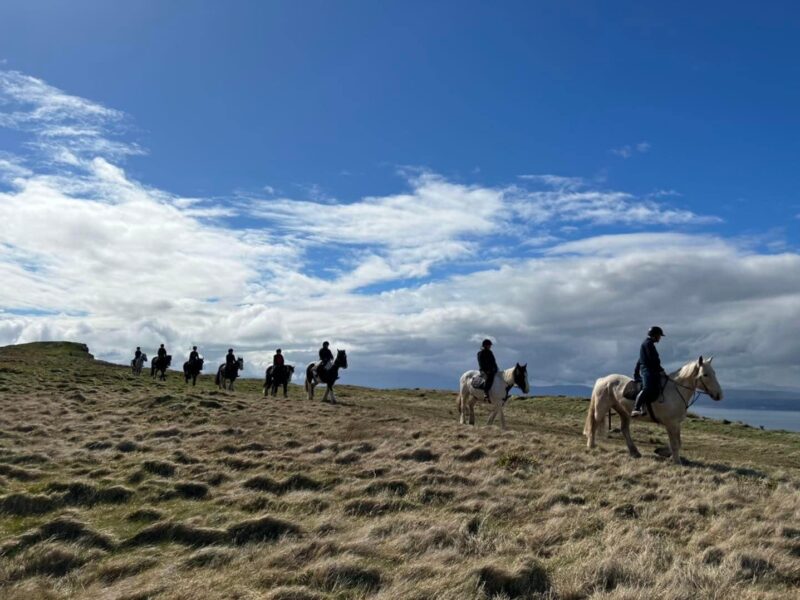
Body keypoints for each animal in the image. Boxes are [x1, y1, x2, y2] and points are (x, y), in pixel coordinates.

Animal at [584, 356, 720, 464]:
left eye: (714, 372)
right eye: (705, 374)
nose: (719, 395)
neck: (675, 391)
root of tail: (603, 379)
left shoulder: (676, 424)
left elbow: (678, 442)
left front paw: (664, 453)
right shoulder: (671, 424)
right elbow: (675, 443)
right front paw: (676, 461)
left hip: (623, 412)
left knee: (624, 429)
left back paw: (634, 452)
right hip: (601, 409)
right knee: (594, 424)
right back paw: (591, 445)